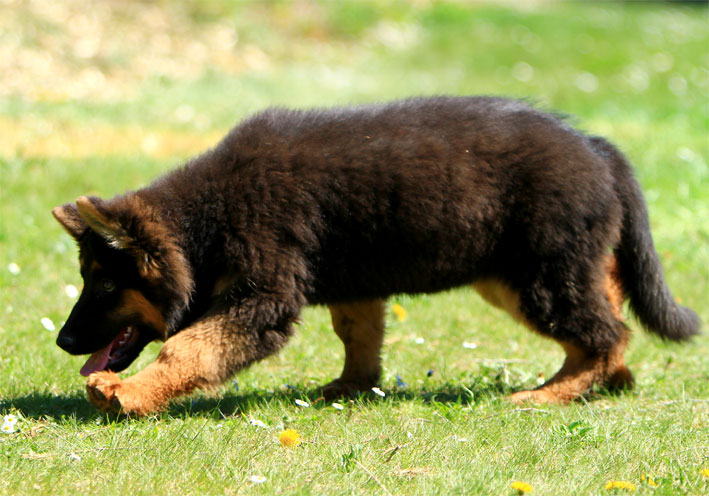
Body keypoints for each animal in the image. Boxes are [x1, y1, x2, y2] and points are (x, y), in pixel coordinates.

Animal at [52, 96, 700, 416]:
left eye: (104, 285)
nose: (62, 342)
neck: (205, 220)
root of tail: (597, 148)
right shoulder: (354, 282)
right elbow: (357, 334)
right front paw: (352, 387)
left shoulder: (264, 299)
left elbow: (190, 346)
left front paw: (128, 396)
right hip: (533, 272)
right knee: (608, 307)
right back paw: (609, 381)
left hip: (538, 277)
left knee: (608, 331)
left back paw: (551, 394)